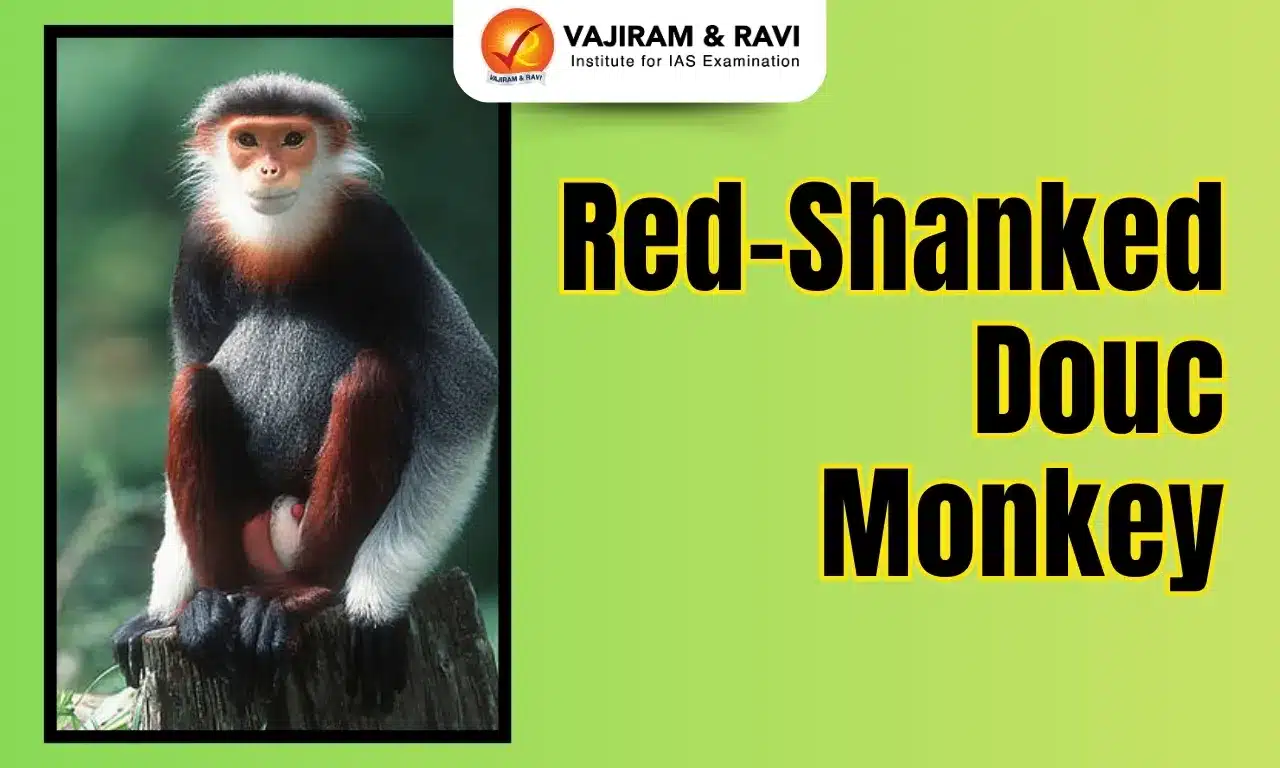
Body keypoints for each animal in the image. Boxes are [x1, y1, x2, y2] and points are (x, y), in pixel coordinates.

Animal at [109, 73, 499, 713]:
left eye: (293, 138)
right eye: (247, 139)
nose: (269, 169)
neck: (279, 238)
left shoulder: (379, 227)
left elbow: (470, 388)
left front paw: (374, 606)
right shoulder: (198, 242)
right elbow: (189, 362)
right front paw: (160, 610)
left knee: (372, 376)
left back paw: (304, 596)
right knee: (193, 384)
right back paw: (211, 606)